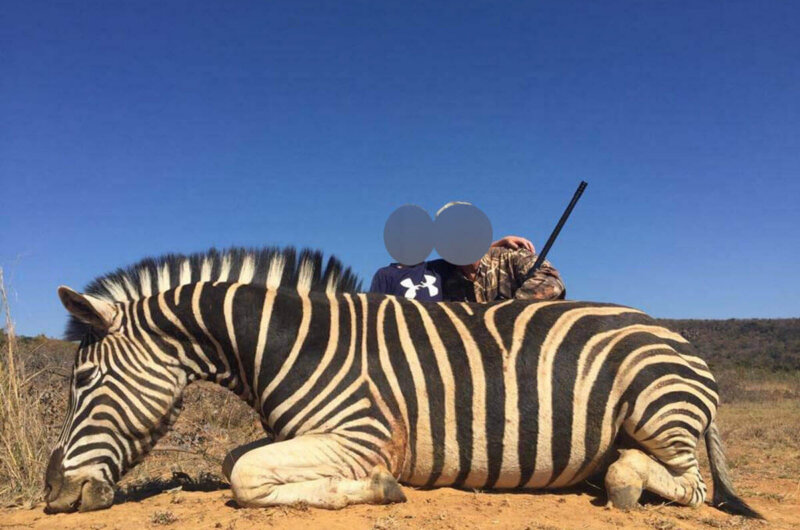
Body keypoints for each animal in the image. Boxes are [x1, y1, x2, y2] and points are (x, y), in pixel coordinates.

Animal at [44, 246, 761, 518]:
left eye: (85, 381)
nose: (54, 496)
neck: (289, 343)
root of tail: (678, 339)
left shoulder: (360, 436)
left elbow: (243, 476)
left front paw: (375, 489)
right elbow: (235, 461)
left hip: (655, 407)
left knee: (688, 484)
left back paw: (622, 482)